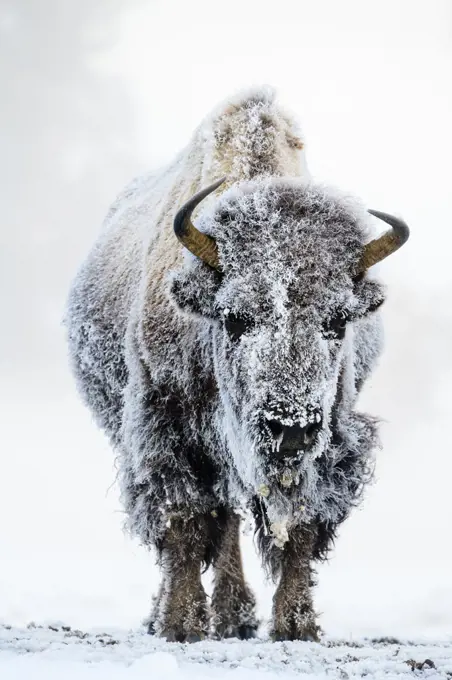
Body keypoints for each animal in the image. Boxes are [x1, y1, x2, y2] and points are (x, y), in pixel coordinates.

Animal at [66, 89, 410, 644]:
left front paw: (297, 626)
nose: (289, 427)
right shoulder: (168, 431)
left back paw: (236, 617)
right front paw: (181, 624)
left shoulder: (331, 438)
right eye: (234, 319)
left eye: (338, 321)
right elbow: (183, 522)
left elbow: (300, 527)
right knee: (212, 521)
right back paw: (188, 616)